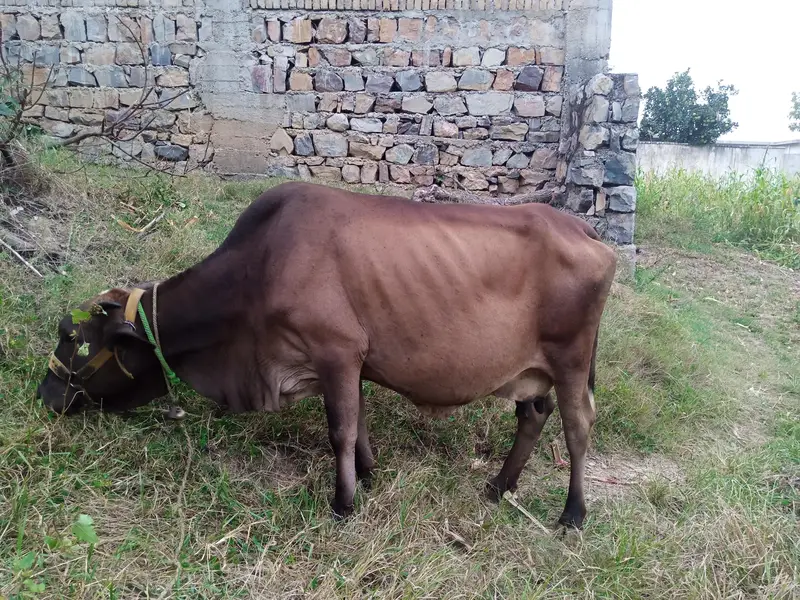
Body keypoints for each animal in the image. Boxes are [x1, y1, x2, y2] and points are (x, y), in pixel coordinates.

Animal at [37, 182, 617, 529]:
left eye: (76, 339)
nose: (46, 394)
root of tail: (582, 227)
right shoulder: (349, 362)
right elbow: (356, 427)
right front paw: (368, 474)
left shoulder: (336, 351)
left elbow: (339, 429)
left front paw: (343, 504)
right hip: (531, 369)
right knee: (533, 416)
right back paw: (498, 486)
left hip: (570, 358)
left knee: (577, 425)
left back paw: (572, 513)